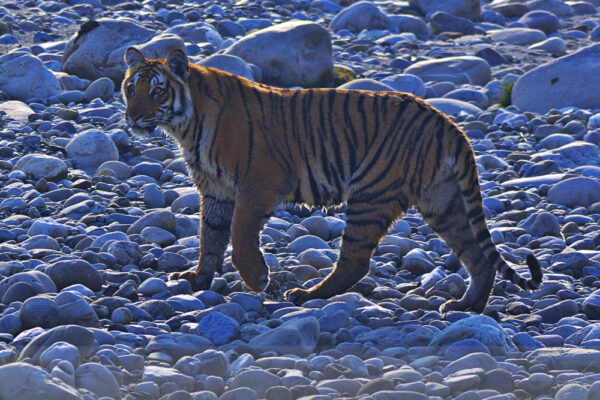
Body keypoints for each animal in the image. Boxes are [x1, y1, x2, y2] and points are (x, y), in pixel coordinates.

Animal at [122, 47, 544, 314]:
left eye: (157, 90)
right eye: (130, 87)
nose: (131, 117)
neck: (186, 126)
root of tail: (449, 124)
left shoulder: (257, 184)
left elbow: (239, 237)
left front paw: (258, 280)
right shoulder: (215, 191)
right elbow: (208, 238)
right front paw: (196, 280)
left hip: (370, 195)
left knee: (355, 262)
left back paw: (305, 295)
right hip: (443, 202)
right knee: (477, 256)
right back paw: (467, 306)